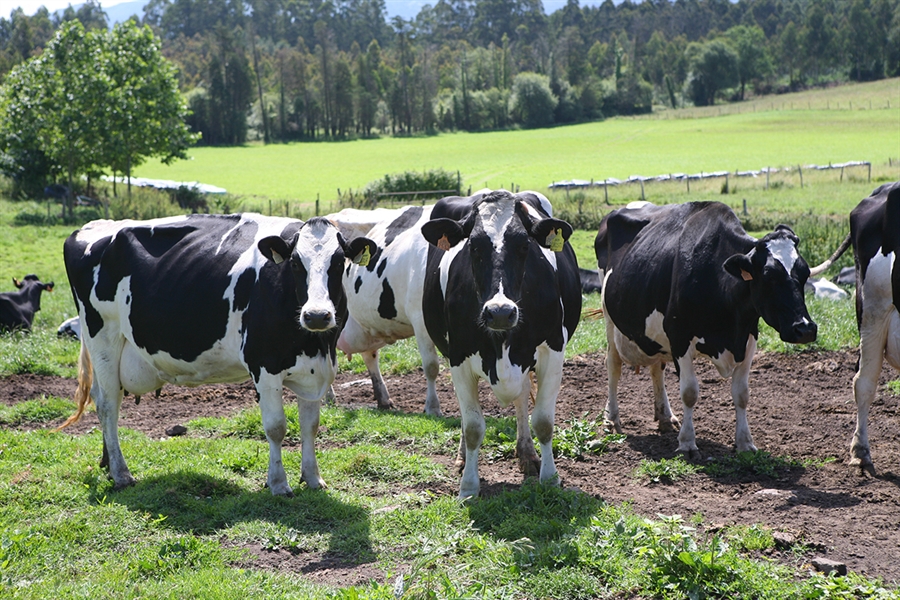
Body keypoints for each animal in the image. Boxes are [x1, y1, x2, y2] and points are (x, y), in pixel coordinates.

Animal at [59, 213, 376, 494]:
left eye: (339, 262)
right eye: (296, 263)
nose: (317, 315)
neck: (314, 344)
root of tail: (92, 227)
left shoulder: (316, 368)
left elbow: (310, 426)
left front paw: (312, 479)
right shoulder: (264, 365)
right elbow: (276, 427)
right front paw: (278, 483)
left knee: (102, 398)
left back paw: (107, 463)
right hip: (102, 334)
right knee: (108, 404)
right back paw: (121, 473)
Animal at [420, 191, 580, 496]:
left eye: (524, 245)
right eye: (473, 247)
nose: (501, 312)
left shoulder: (553, 350)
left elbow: (543, 421)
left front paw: (550, 479)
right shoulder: (458, 357)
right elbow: (473, 426)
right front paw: (468, 486)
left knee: (521, 397)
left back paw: (527, 454)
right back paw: (463, 458)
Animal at [596, 202, 820, 460]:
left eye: (805, 274)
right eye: (769, 276)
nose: (805, 328)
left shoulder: (748, 337)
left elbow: (742, 394)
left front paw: (745, 443)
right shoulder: (679, 338)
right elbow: (689, 392)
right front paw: (687, 443)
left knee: (656, 369)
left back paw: (665, 417)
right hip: (610, 320)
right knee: (613, 366)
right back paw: (612, 420)